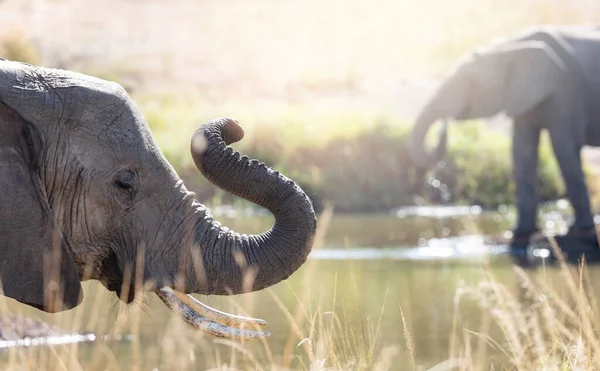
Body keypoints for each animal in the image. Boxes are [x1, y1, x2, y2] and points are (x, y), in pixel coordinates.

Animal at [410, 24, 600, 248]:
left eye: (470, 84)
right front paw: (520, 234)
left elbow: (564, 149)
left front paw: (580, 232)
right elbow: (522, 153)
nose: (444, 125)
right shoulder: (523, 98)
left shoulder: (565, 92)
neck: (508, 49)